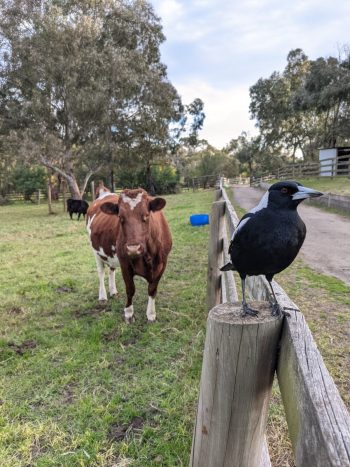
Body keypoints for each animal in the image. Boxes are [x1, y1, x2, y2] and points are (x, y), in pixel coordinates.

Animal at [86, 188, 171, 324]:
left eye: (146, 216)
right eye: (120, 217)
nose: (133, 248)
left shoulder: (162, 263)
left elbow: (152, 289)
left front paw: (151, 314)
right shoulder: (125, 263)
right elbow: (130, 289)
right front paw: (129, 313)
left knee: (111, 270)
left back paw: (113, 291)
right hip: (96, 252)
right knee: (101, 272)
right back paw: (103, 296)